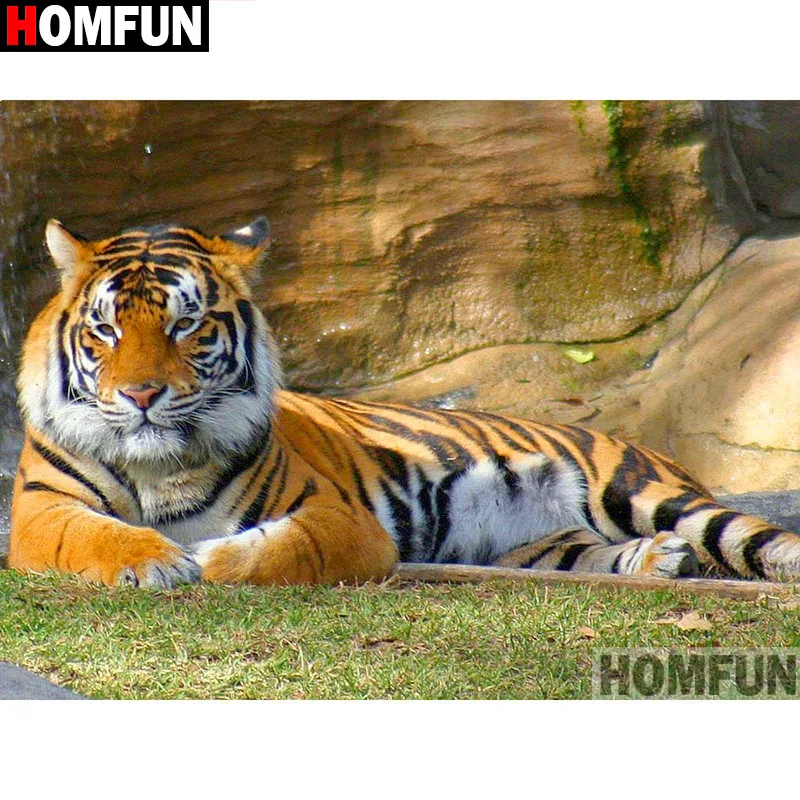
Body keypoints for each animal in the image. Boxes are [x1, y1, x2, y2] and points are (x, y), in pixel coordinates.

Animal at [9, 216, 800, 589]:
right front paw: (157, 560)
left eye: (185, 324)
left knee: (753, 536)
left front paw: (205, 558)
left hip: (641, 489)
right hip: (543, 546)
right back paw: (657, 562)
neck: (158, 466)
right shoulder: (40, 511)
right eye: (106, 329)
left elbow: (274, 549)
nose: (141, 394)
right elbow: (95, 535)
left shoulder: (335, 516)